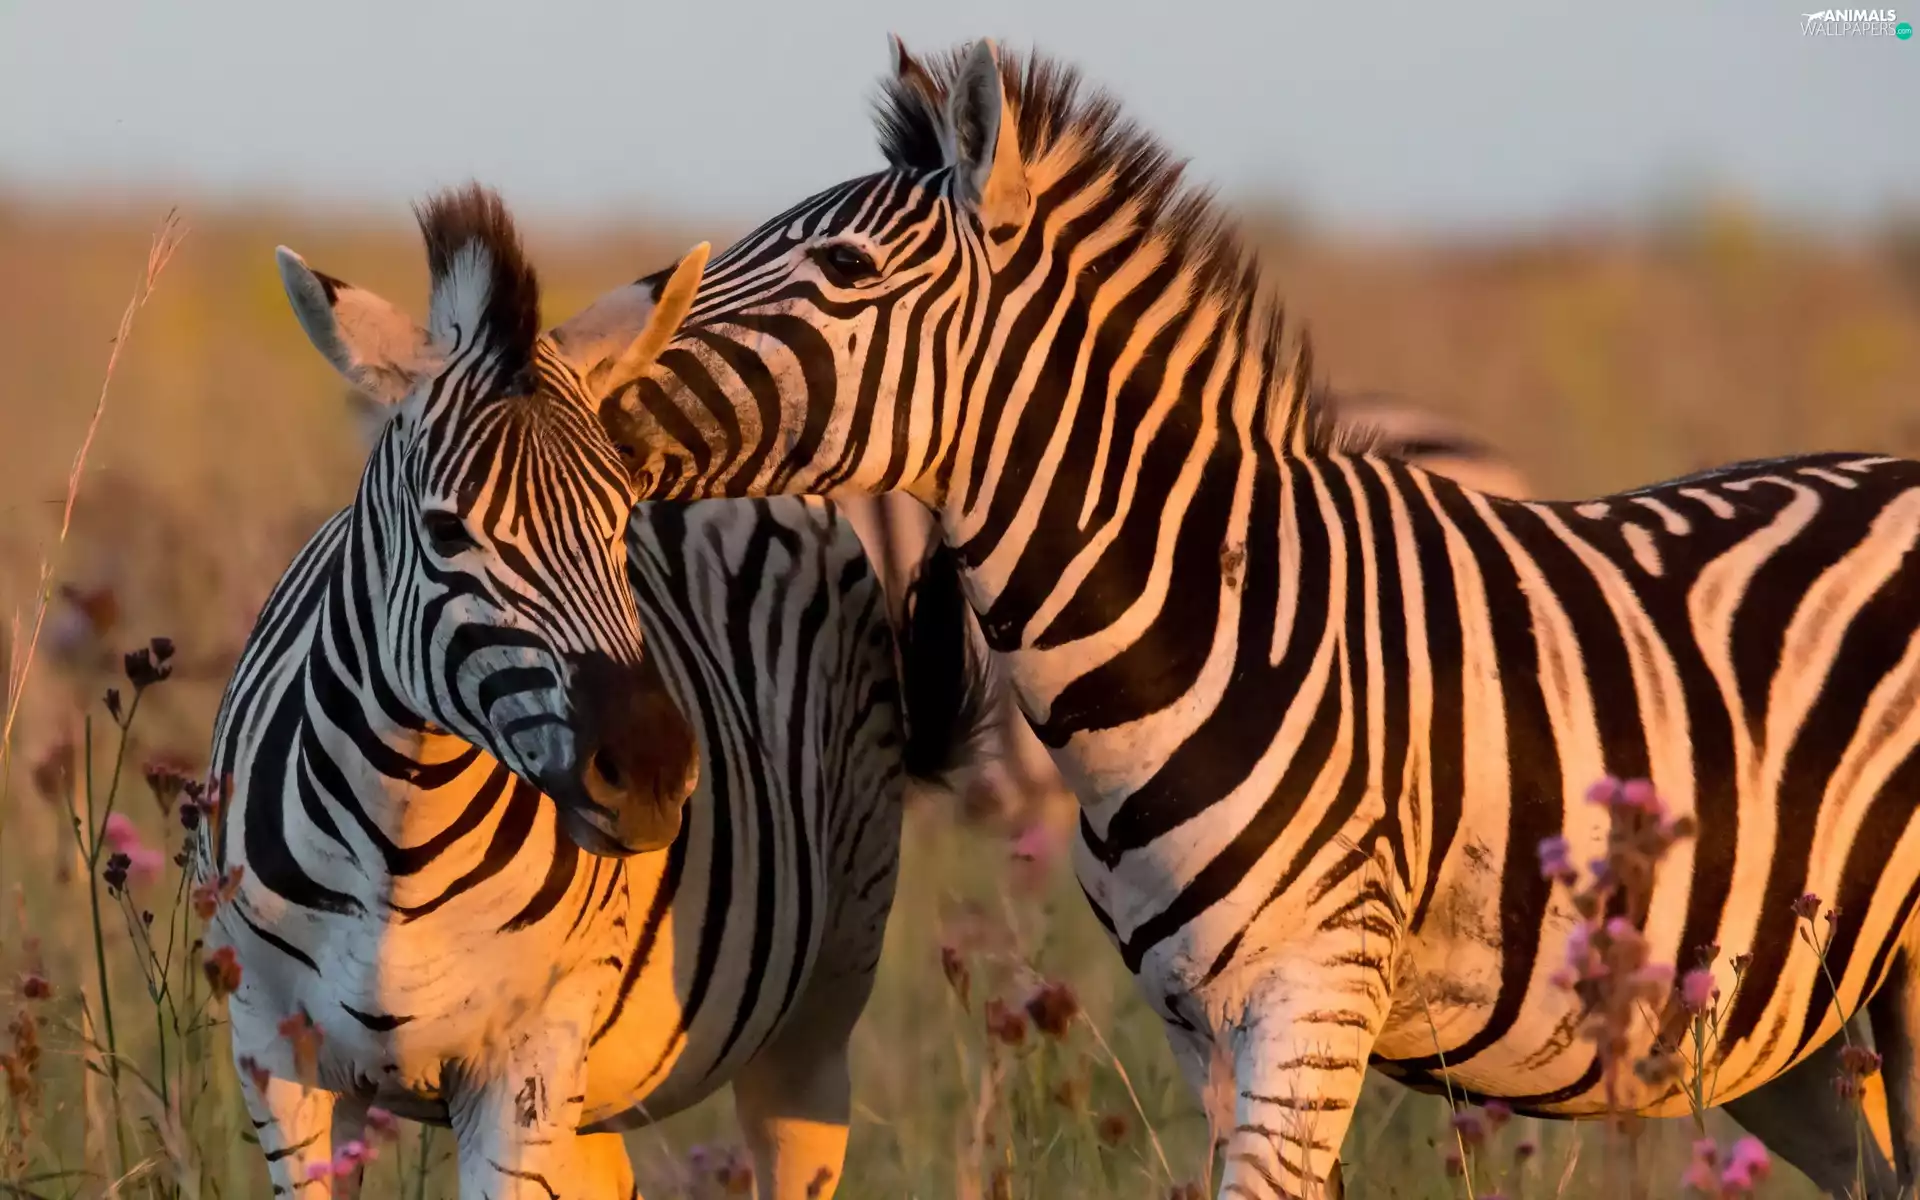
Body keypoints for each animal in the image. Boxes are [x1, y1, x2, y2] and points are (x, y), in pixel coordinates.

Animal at [202, 186, 984, 1198]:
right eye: (446, 533)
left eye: (620, 521)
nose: (652, 776)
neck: (400, 838)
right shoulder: (274, 1057)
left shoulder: (523, 1066)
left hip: (822, 999)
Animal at [582, 40, 1920, 1198]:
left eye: (848, 273)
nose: (582, 387)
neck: (1208, 624)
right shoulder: (1199, 1024)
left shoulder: (1314, 1000)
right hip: (1801, 1022)